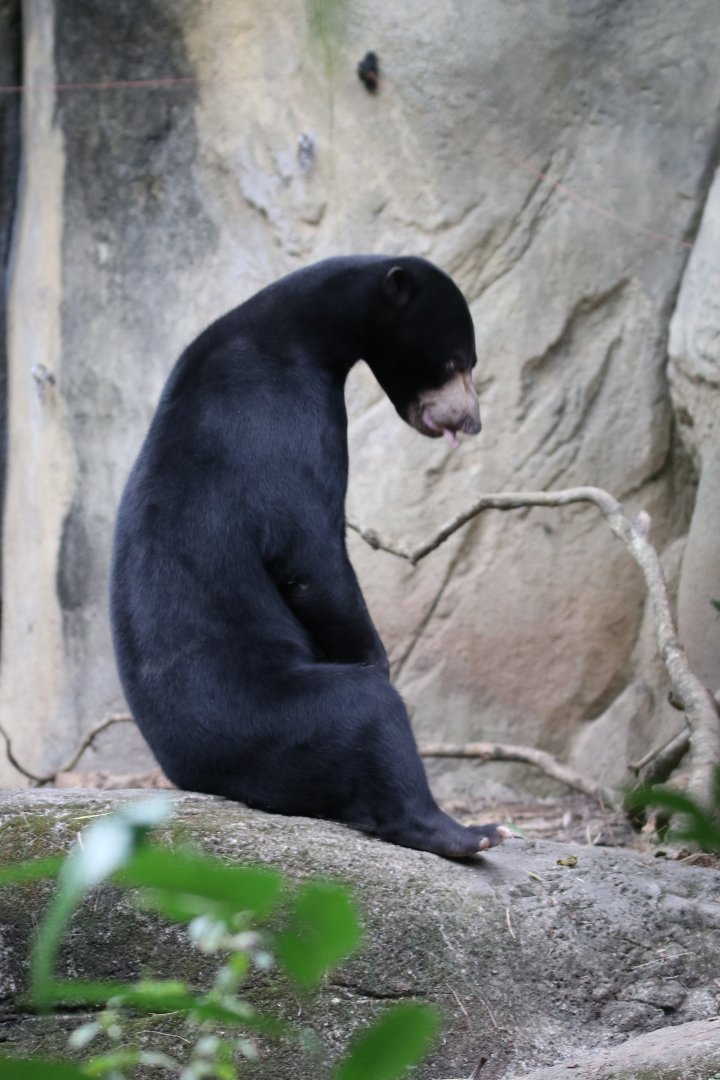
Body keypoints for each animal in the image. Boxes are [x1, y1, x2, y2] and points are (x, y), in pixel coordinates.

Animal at [110, 255, 509, 858]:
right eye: (455, 361)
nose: (472, 421)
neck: (300, 329)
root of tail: (192, 774)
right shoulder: (283, 417)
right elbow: (308, 554)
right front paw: (377, 658)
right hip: (263, 719)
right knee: (369, 716)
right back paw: (472, 833)